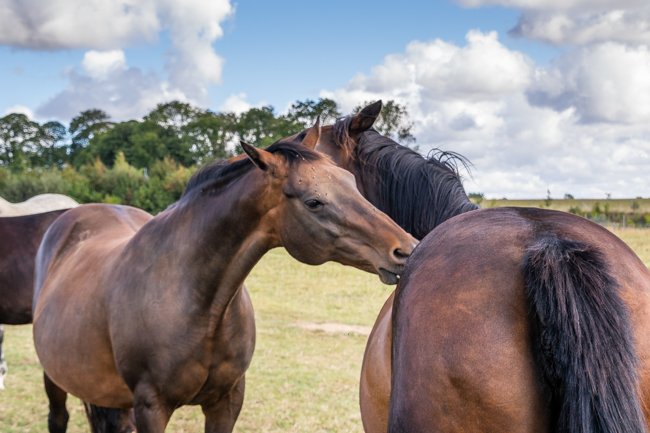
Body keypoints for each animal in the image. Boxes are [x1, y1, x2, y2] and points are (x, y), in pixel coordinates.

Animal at [32, 133, 417, 433]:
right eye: (314, 202)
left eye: (351, 182)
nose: (406, 249)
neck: (196, 302)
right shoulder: (151, 407)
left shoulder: (227, 401)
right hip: (56, 377)